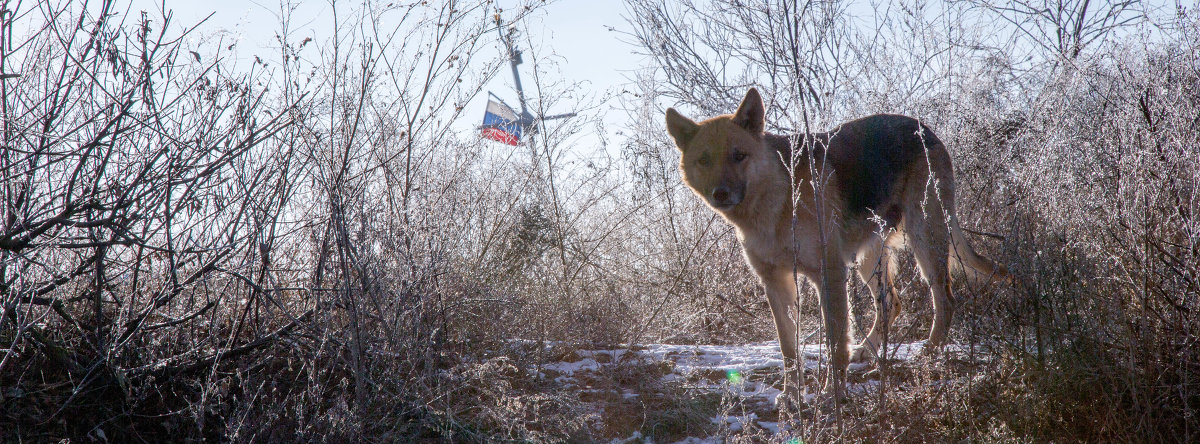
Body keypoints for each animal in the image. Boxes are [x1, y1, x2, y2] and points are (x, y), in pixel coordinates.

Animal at [667, 87, 1003, 396]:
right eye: (704, 160)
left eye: (739, 156)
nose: (720, 194)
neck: (776, 199)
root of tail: (925, 129)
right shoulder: (776, 283)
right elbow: (789, 350)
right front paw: (792, 398)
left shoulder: (828, 275)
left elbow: (835, 342)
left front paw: (833, 395)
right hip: (868, 259)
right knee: (891, 302)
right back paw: (868, 349)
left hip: (924, 240)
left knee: (944, 300)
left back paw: (928, 356)